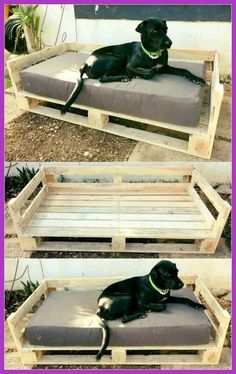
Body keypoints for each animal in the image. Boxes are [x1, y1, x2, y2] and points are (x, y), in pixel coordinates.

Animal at [60, 18, 205, 114]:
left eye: (166, 30)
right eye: (154, 31)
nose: (169, 43)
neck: (151, 54)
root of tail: (86, 63)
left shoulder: (164, 67)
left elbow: (184, 70)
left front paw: (197, 79)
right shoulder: (130, 66)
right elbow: (150, 72)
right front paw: (140, 74)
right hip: (115, 59)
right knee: (102, 78)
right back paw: (125, 77)